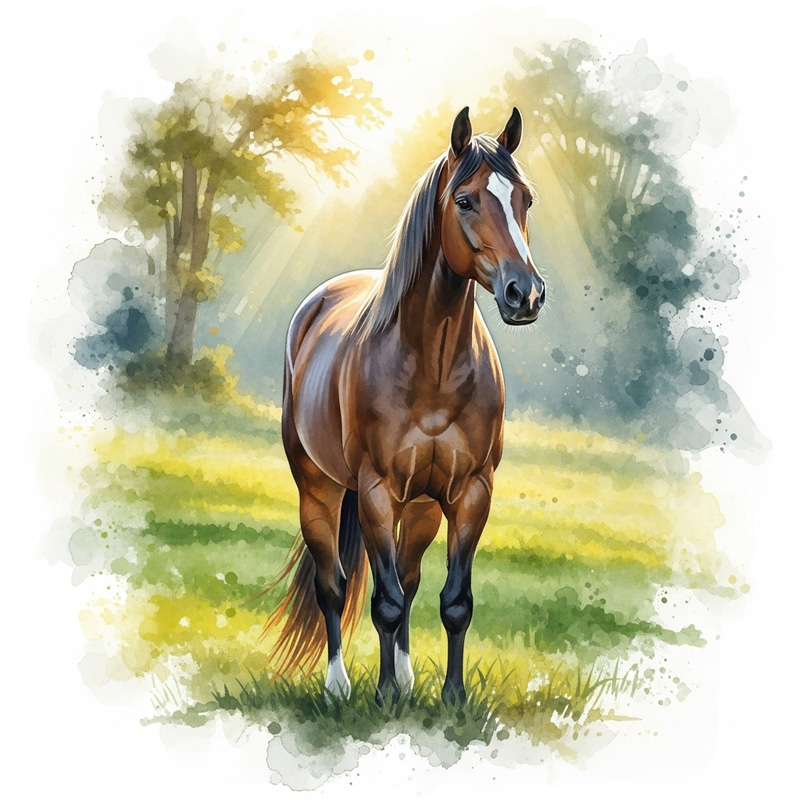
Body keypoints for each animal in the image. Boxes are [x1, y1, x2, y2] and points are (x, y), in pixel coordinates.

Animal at [265, 107, 545, 706]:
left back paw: (408, 674)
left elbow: (452, 601)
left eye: (525, 199)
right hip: (319, 491)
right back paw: (339, 685)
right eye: (465, 200)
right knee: (333, 585)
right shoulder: (375, 491)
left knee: (410, 580)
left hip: (419, 508)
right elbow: (385, 602)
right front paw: (385, 698)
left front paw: (452, 699)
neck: (431, 372)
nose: (525, 293)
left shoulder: (471, 493)